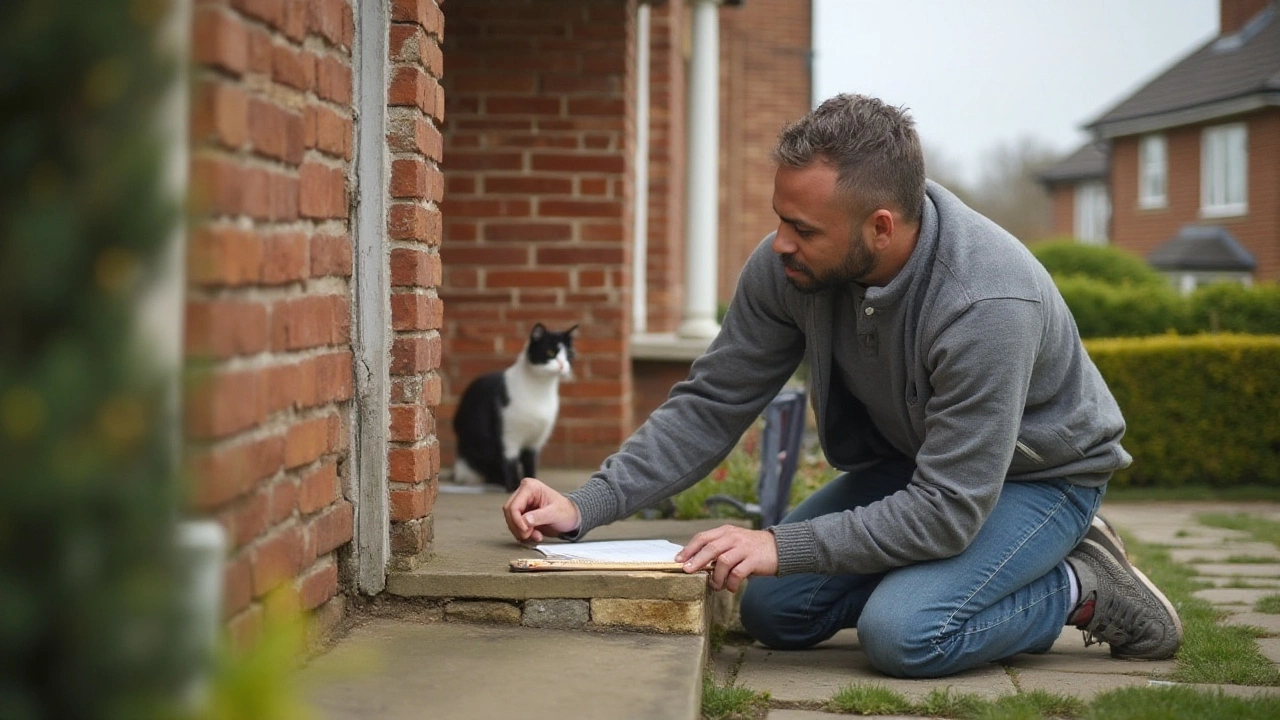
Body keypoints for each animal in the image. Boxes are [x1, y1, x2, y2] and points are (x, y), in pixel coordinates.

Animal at [448, 322, 573, 489]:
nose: (562, 365)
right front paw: (514, 486)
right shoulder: (509, 434)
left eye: (569, 355)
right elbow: (510, 461)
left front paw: (532, 481)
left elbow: (530, 463)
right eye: (550, 352)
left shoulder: (535, 440)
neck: (541, 389)